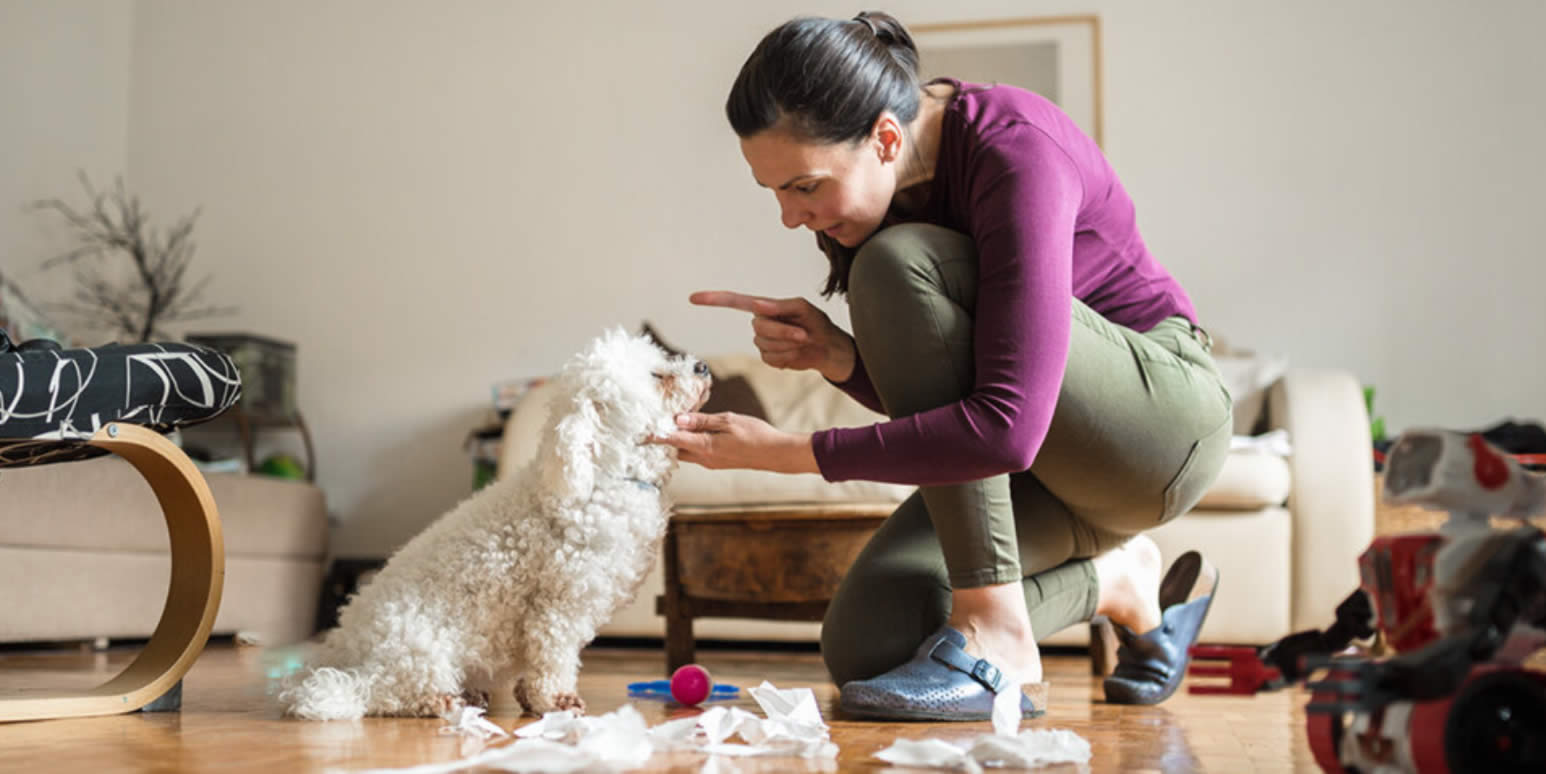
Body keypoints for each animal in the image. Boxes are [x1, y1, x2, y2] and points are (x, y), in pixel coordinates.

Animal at [281, 325, 708, 716]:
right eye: (657, 376)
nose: (702, 365)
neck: (604, 475)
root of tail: (343, 657)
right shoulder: (558, 605)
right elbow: (553, 656)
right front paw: (554, 700)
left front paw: (528, 697)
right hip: (415, 646)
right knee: (384, 694)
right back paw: (440, 699)